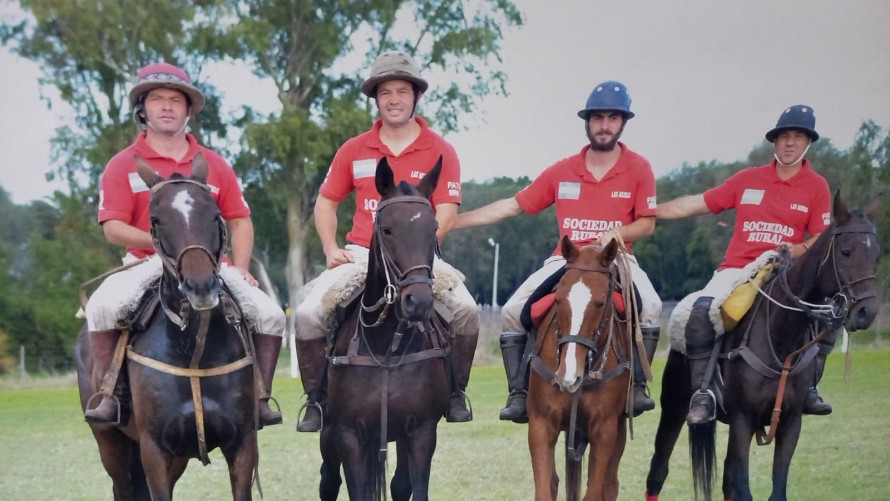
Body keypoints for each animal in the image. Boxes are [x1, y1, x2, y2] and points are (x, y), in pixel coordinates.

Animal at [76, 153, 258, 500]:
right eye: (157, 219)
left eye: (215, 214)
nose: (201, 287)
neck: (195, 350)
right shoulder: (154, 452)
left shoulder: (242, 445)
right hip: (111, 444)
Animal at [316, 156, 448, 500]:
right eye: (387, 230)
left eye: (433, 229)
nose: (418, 301)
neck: (385, 345)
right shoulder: (349, 433)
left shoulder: (421, 432)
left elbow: (414, 487)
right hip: (329, 434)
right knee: (328, 481)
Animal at [528, 237, 632, 500]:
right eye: (557, 299)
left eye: (600, 302)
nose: (567, 377)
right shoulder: (541, 423)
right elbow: (545, 488)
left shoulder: (604, 430)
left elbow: (595, 491)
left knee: (610, 484)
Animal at [640, 191, 876, 500]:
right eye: (845, 251)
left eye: (877, 253)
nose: (867, 312)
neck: (782, 340)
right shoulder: (743, 419)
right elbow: (743, 488)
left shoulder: (790, 422)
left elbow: (775, 489)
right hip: (674, 408)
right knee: (657, 472)